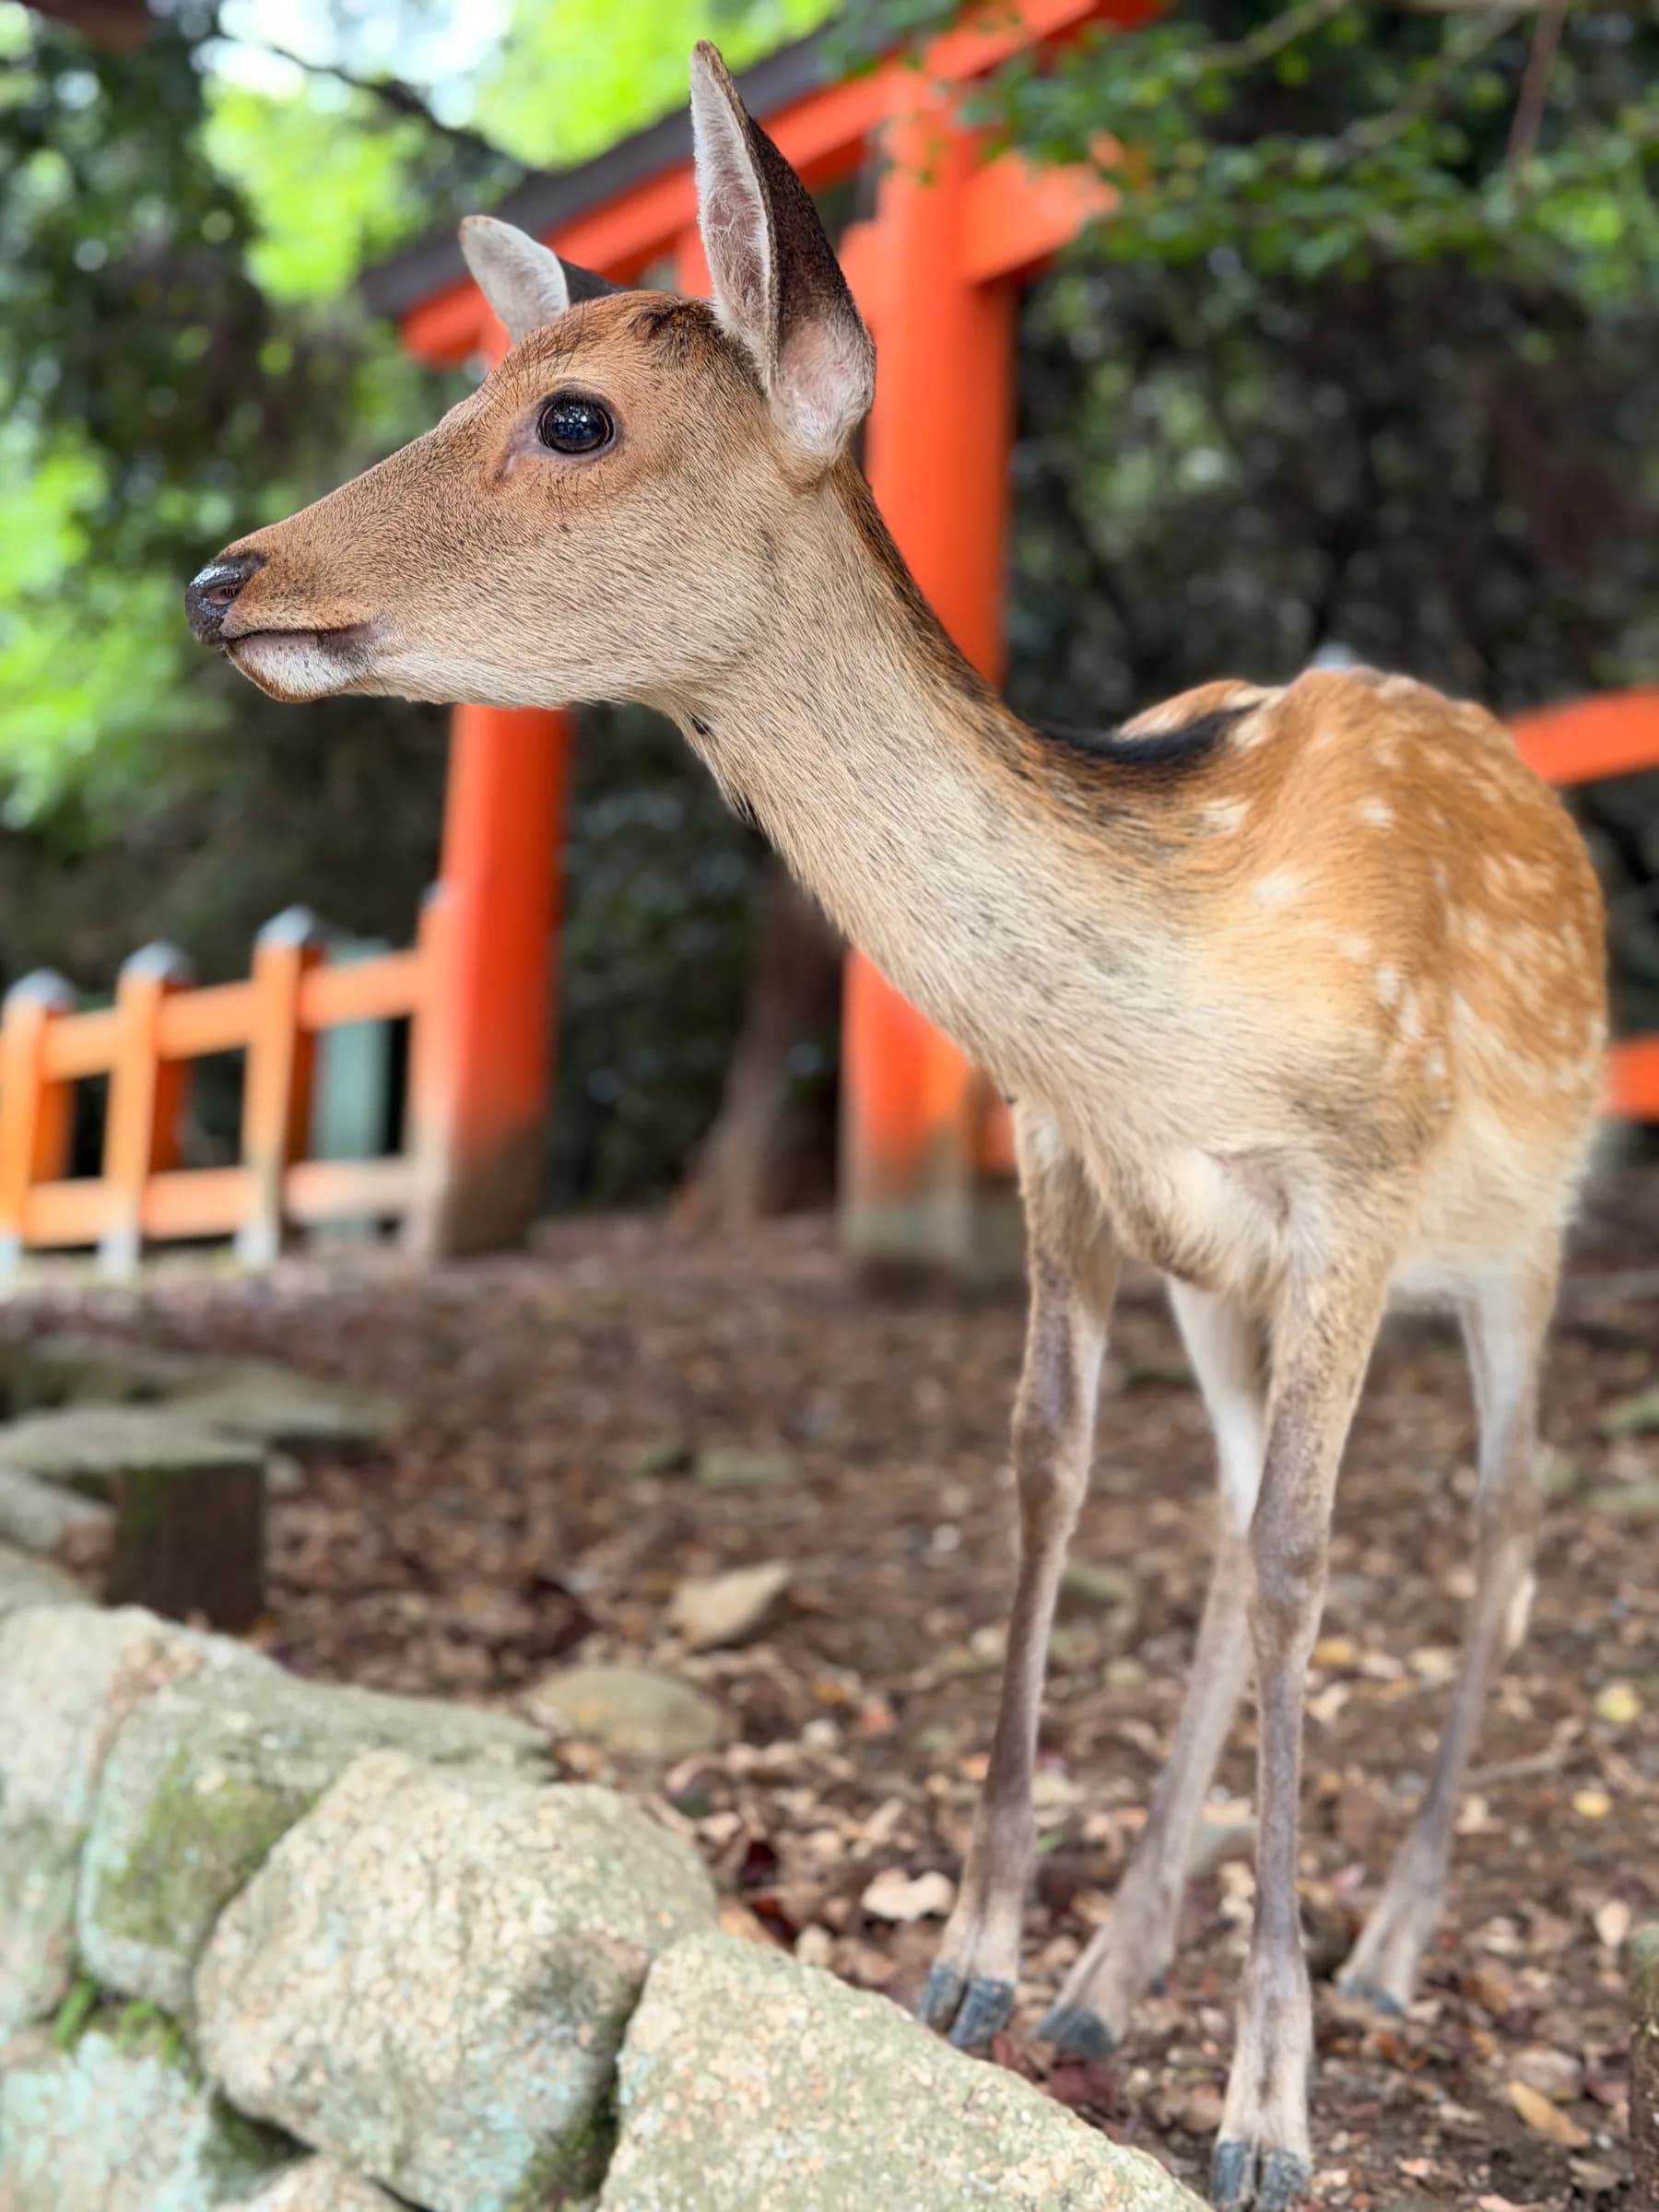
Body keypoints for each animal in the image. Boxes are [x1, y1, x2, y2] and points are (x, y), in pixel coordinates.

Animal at [184, 43, 1608, 2210]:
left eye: (573, 417)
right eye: (483, 385)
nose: (226, 574)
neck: (1171, 1021)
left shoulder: (1359, 1193)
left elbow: (1307, 1554)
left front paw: (1270, 2116)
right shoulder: (1072, 1169)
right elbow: (1050, 1477)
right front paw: (977, 1972)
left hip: (1532, 1233)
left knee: (1505, 1519)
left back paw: (1381, 1954)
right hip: (1226, 1293)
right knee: (1222, 1529)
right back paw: (1114, 1976)